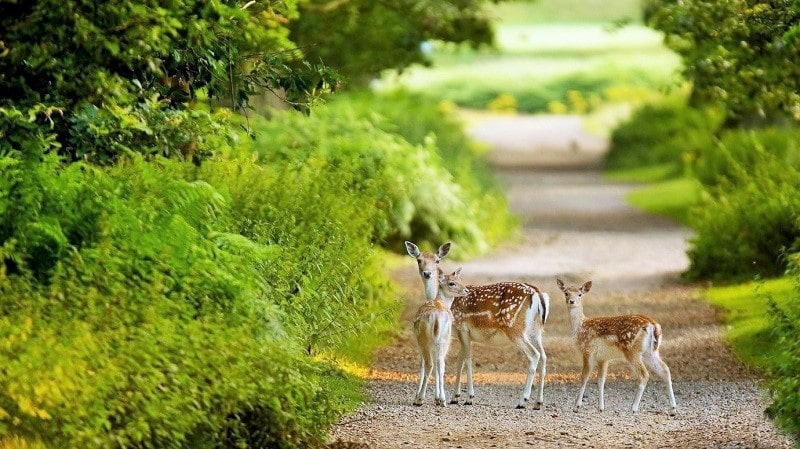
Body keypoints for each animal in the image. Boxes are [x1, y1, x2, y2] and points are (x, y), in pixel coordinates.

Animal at [412, 270, 468, 406]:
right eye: (452, 283)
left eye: (460, 280)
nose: (466, 290)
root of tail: (437, 317)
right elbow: (438, 366)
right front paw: (437, 398)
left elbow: (422, 365)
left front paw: (418, 397)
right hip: (444, 339)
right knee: (440, 364)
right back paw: (442, 400)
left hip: (424, 339)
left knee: (429, 364)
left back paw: (420, 399)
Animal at [560, 278, 680, 414]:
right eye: (566, 293)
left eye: (580, 294)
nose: (572, 301)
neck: (580, 327)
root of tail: (653, 325)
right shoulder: (603, 358)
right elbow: (601, 380)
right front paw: (601, 407)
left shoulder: (587, 351)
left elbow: (584, 377)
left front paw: (577, 406)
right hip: (651, 352)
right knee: (665, 370)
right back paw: (673, 406)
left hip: (631, 350)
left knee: (644, 374)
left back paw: (633, 408)